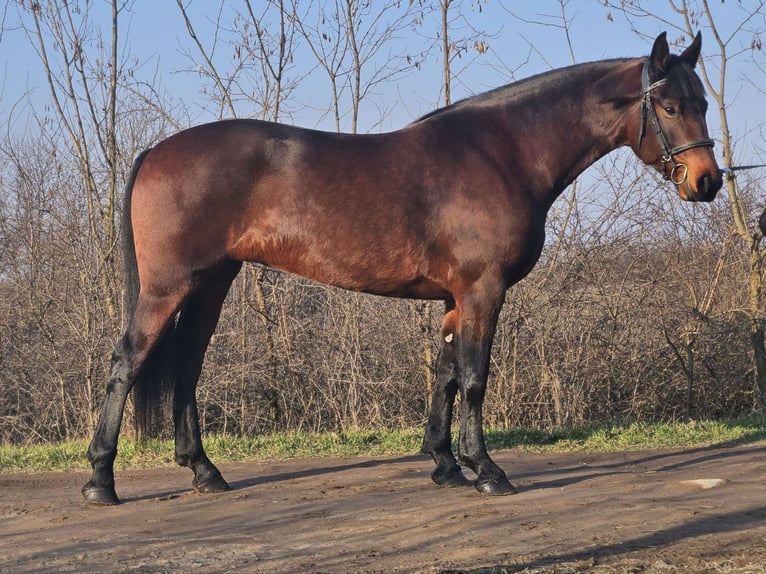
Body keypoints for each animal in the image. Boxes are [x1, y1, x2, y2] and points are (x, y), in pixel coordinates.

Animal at [84, 33, 728, 506]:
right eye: (671, 105)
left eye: (703, 102)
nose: (707, 182)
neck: (503, 153)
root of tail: (157, 151)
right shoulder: (483, 289)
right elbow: (474, 377)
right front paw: (486, 470)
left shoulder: (455, 297)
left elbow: (445, 373)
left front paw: (446, 463)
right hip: (167, 287)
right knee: (127, 361)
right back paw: (101, 481)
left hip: (212, 282)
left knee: (187, 365)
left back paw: (204, 470)